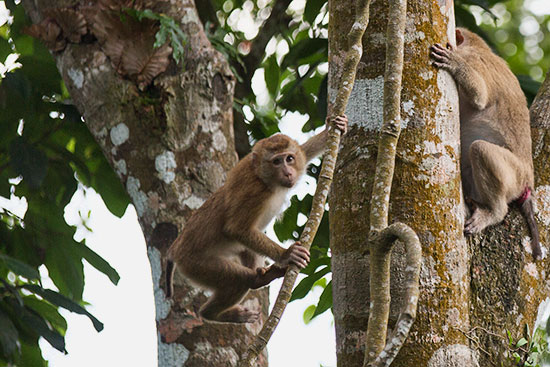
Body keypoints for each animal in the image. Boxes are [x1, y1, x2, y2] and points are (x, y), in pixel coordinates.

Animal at [166, 116, 352, 324]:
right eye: (276, 161)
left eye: (289, 158)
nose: (288, 173)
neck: (265, 178)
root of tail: (175, 248)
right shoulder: (255, 192)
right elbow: (235, 229)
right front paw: (288, 254)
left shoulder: (297, 159)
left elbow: (306, 151)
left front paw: (334, 128)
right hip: (195, 264)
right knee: (239, 280)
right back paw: (222, 305)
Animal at [432, 28, 544, 262]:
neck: (479, 46)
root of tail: (528, 181)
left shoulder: (472, 57)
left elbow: (479, 96)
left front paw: (454, 63)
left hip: (515, 175)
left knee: (480, 149)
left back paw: (494, 212)